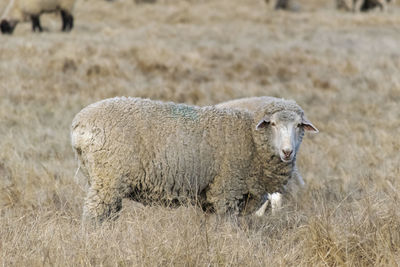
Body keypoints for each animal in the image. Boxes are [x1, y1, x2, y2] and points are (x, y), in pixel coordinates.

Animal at [70, 97, 318, 223]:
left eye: (299, 125)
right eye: (273, 124)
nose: (287, 152)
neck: (251, 138)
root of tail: (79, 122)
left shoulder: (211, 198)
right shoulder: (226, 192)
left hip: (102, 179)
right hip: (109, 177)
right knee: (93, 216)